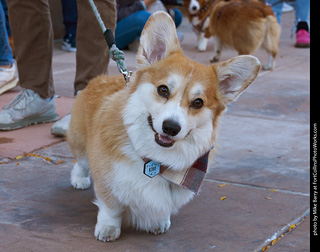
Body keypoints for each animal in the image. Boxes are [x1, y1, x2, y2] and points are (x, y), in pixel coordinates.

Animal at [67, 10, 260, 241]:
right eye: (163, 90)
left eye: (198, 103)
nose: (170, 127)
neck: (155, 161)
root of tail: (99, 78)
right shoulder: (108, 182)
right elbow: (110, 208)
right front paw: (108, 229)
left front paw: (158, 222)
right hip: (80, 141)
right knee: (80, 162)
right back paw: (79, 180)